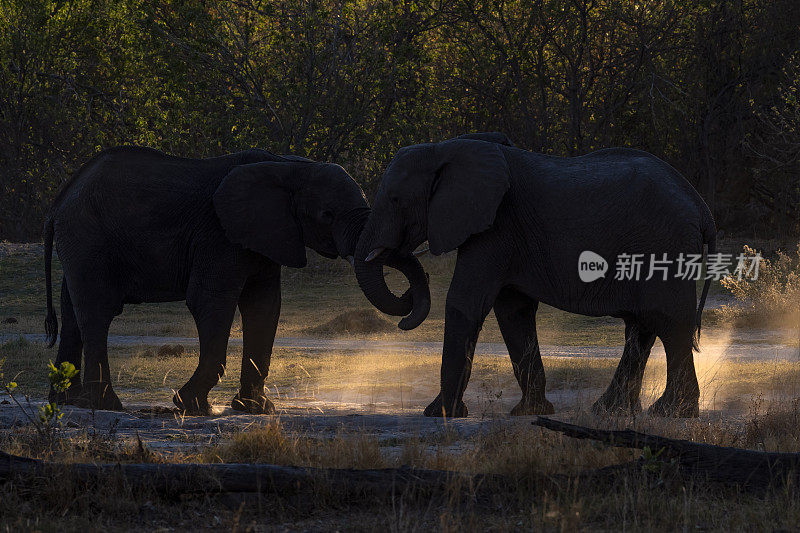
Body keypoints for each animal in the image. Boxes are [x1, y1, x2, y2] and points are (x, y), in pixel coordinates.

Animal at [42, 148, 432, 414]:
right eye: (327, 215)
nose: (409, 293)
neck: (288, 165)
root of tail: (62, 195)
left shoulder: (265, 236)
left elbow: (264, 306)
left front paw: (255, 409)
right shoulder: (218, 234)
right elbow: (211, 300)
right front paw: (190, 406)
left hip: (80, 242)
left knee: (72, 311)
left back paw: (68, 401)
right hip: (89, 237)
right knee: (98, 311)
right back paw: (106, 405)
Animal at [354, 135, 716, 418]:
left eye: (395, 200)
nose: (406, 299)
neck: (444, 149)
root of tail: (701, 206)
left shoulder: (495, 228)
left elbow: (464, 303)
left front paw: (439, 414)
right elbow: (514, 312)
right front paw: (530, 412)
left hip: (663, 243)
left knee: (668, 321)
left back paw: (670, 412)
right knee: (642, 325)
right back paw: (610, 411)